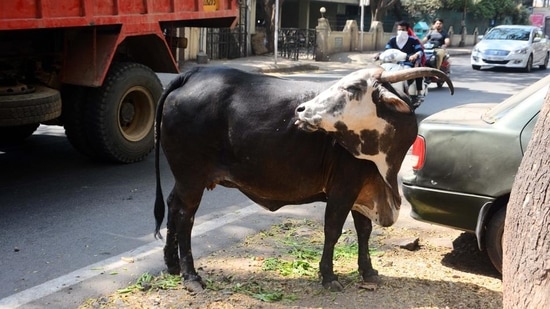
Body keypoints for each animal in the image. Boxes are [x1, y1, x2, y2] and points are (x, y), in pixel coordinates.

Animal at [153, 65, 454, 292]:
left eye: (353, 88)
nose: (301, 110)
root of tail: (193, 73)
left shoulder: (364, 188)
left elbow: (364, 231)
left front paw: (367, 270)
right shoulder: (343, 187)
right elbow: (333, 230)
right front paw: (328, 276)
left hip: (184, 179)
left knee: (173, 206)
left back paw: (172, 265)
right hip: (192, 177)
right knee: (186, 218)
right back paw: (191, 276)